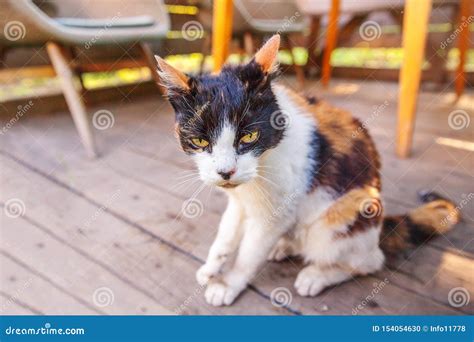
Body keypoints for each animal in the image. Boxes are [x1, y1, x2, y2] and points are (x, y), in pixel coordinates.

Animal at [155, 35, 460, 308]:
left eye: (249, 136)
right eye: (200, 141)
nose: (225, 171)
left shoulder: (276, 210)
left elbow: (249, 253)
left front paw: (229, 283)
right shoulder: (240, 202)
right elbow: (226, 235)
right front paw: (211, 267)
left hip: (346, 213)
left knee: (368, 261)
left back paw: (315, 276)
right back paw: (284, 247)